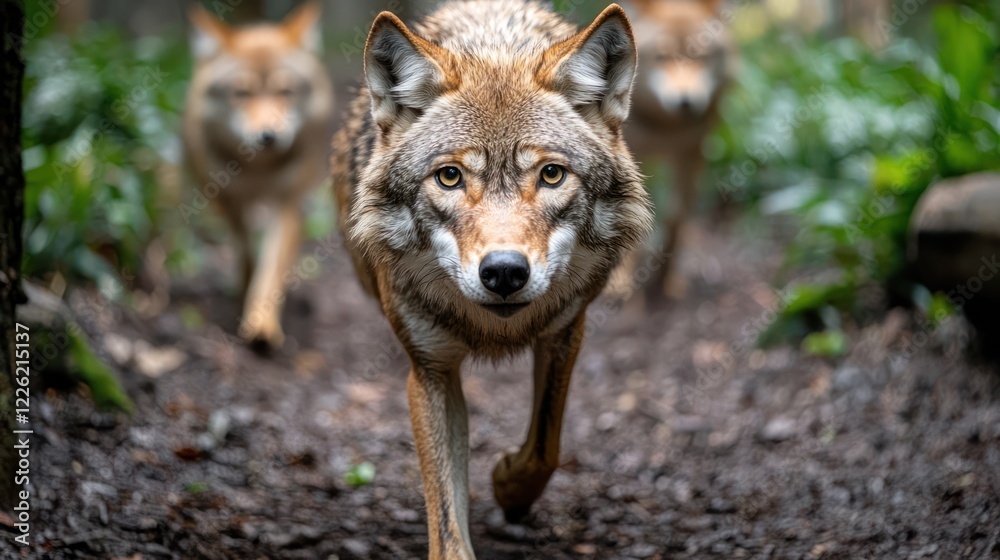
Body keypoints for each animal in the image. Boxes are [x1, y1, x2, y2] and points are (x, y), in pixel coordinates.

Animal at [182, 3, 333, 350]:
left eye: (285, 91)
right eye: (241, 93)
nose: (269, 136)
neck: (258, 171)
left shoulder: (289, 203)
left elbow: (272, 265)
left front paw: (262, 324)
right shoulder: (227, 199)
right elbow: (246, 249)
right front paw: (245, 289)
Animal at [332, 1, 653, 557]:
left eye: (551, 174)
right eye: (449, 177)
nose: (504, 271)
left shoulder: (565, 333)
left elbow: (545, 446)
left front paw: (507, 485)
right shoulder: (430, 371)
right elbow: (446, 519)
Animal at [623, 0, 735, 299]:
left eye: (702, 56)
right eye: (662, 57)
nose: (686, 102)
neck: (666, 131)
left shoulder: (691, 155)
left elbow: (675, 216)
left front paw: (665, 282)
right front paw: (625, 285)